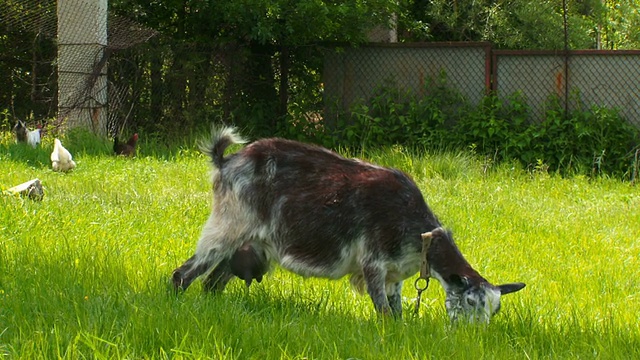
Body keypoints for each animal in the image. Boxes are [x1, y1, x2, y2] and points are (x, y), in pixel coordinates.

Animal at [171, 127, 524, 324]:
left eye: (494, 311)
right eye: (470, 302)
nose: (474, 336)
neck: (417, 231)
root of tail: (226, 162)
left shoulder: (394, 276)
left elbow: (395, 311)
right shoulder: (373, 263)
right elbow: (384, 313)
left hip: (250, 244)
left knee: (212, 282)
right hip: (228, 228)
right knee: (184, 274)